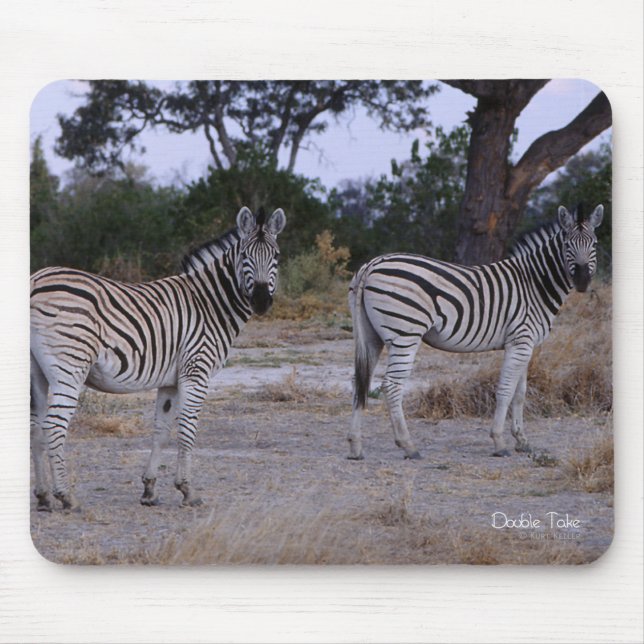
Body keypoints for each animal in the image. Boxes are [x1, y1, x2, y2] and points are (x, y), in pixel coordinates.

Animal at [30, 206, 286, 511]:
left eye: (276, 256)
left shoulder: (170, 380)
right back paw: (65, 496)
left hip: (37, 372)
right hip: (69, 367)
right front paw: (187, 490)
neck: (210, 304)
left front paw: (149, 489)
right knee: (54, 426)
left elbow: (161, 429)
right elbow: (187, 429)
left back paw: (43, 496)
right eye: (245, 256)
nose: (260, 300)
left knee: (35, 427)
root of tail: (36, 280)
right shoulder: (196, 371)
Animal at [347, 204, 604, 461]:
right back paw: (408, 446)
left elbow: (520, 393)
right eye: (567, 245)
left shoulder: (525, 344)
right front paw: (499, 442)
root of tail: (372, 264)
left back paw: (356, 447)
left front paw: (522, 440)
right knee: (391, 385)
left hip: (370, 336)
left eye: (594, 244)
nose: (582, 280)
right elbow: (506, 390)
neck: (534, 284)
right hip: (405, 334)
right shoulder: (520, 341)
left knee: (361, 382)